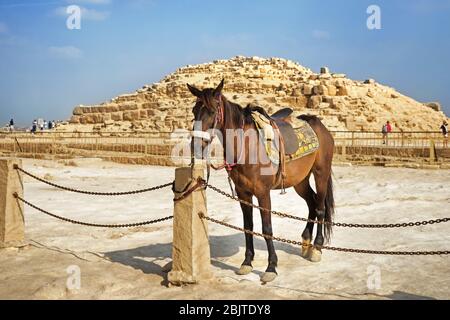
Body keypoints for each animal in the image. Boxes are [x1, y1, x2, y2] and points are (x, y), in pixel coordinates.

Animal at [187, 80, 334, 282]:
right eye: (194, 110)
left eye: (211, 111)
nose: (195, 145)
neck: (247, 146)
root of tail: (319, 124)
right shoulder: (243, 193)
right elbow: (248, 227)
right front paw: (247, 263)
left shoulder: (263, 193)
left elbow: (267, 229)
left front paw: (271, 267)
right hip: (300, 181)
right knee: (311, 203)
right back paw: (305, 242)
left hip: (321, 174)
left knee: (320, 207)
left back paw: (317, 248)